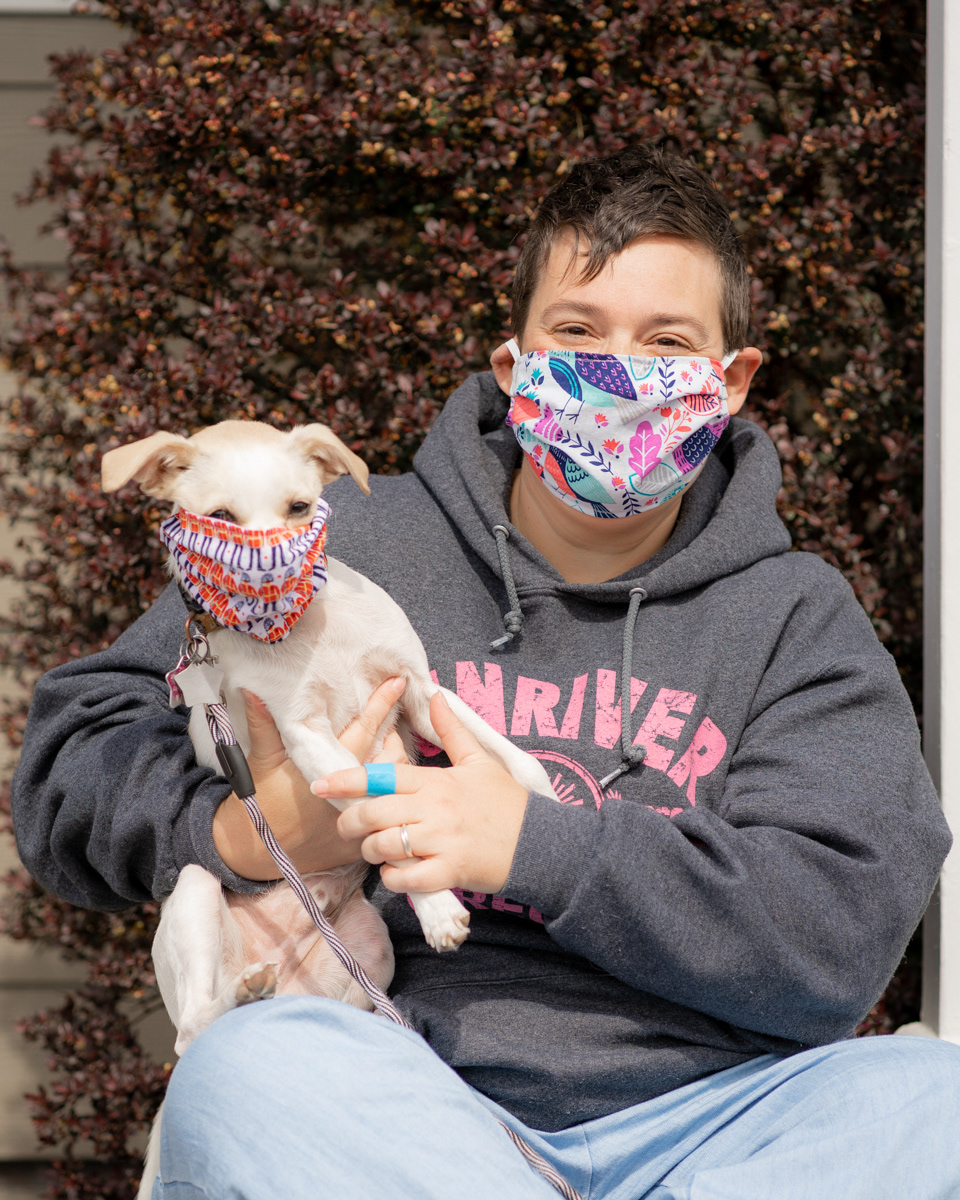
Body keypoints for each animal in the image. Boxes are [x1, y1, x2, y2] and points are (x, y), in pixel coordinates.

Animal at [101, 420, 559, 1198]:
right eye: (219, 518)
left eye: (299, 507)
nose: (266, 579)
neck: (313, 634)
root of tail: (284, 978)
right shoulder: (311, 740)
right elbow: (390, 817)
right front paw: (437, 907)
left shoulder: (419, 692)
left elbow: (501, 749)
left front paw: (544, 796)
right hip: (193, 892)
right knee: (195, 1029)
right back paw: (241, 996)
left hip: (368, 950)